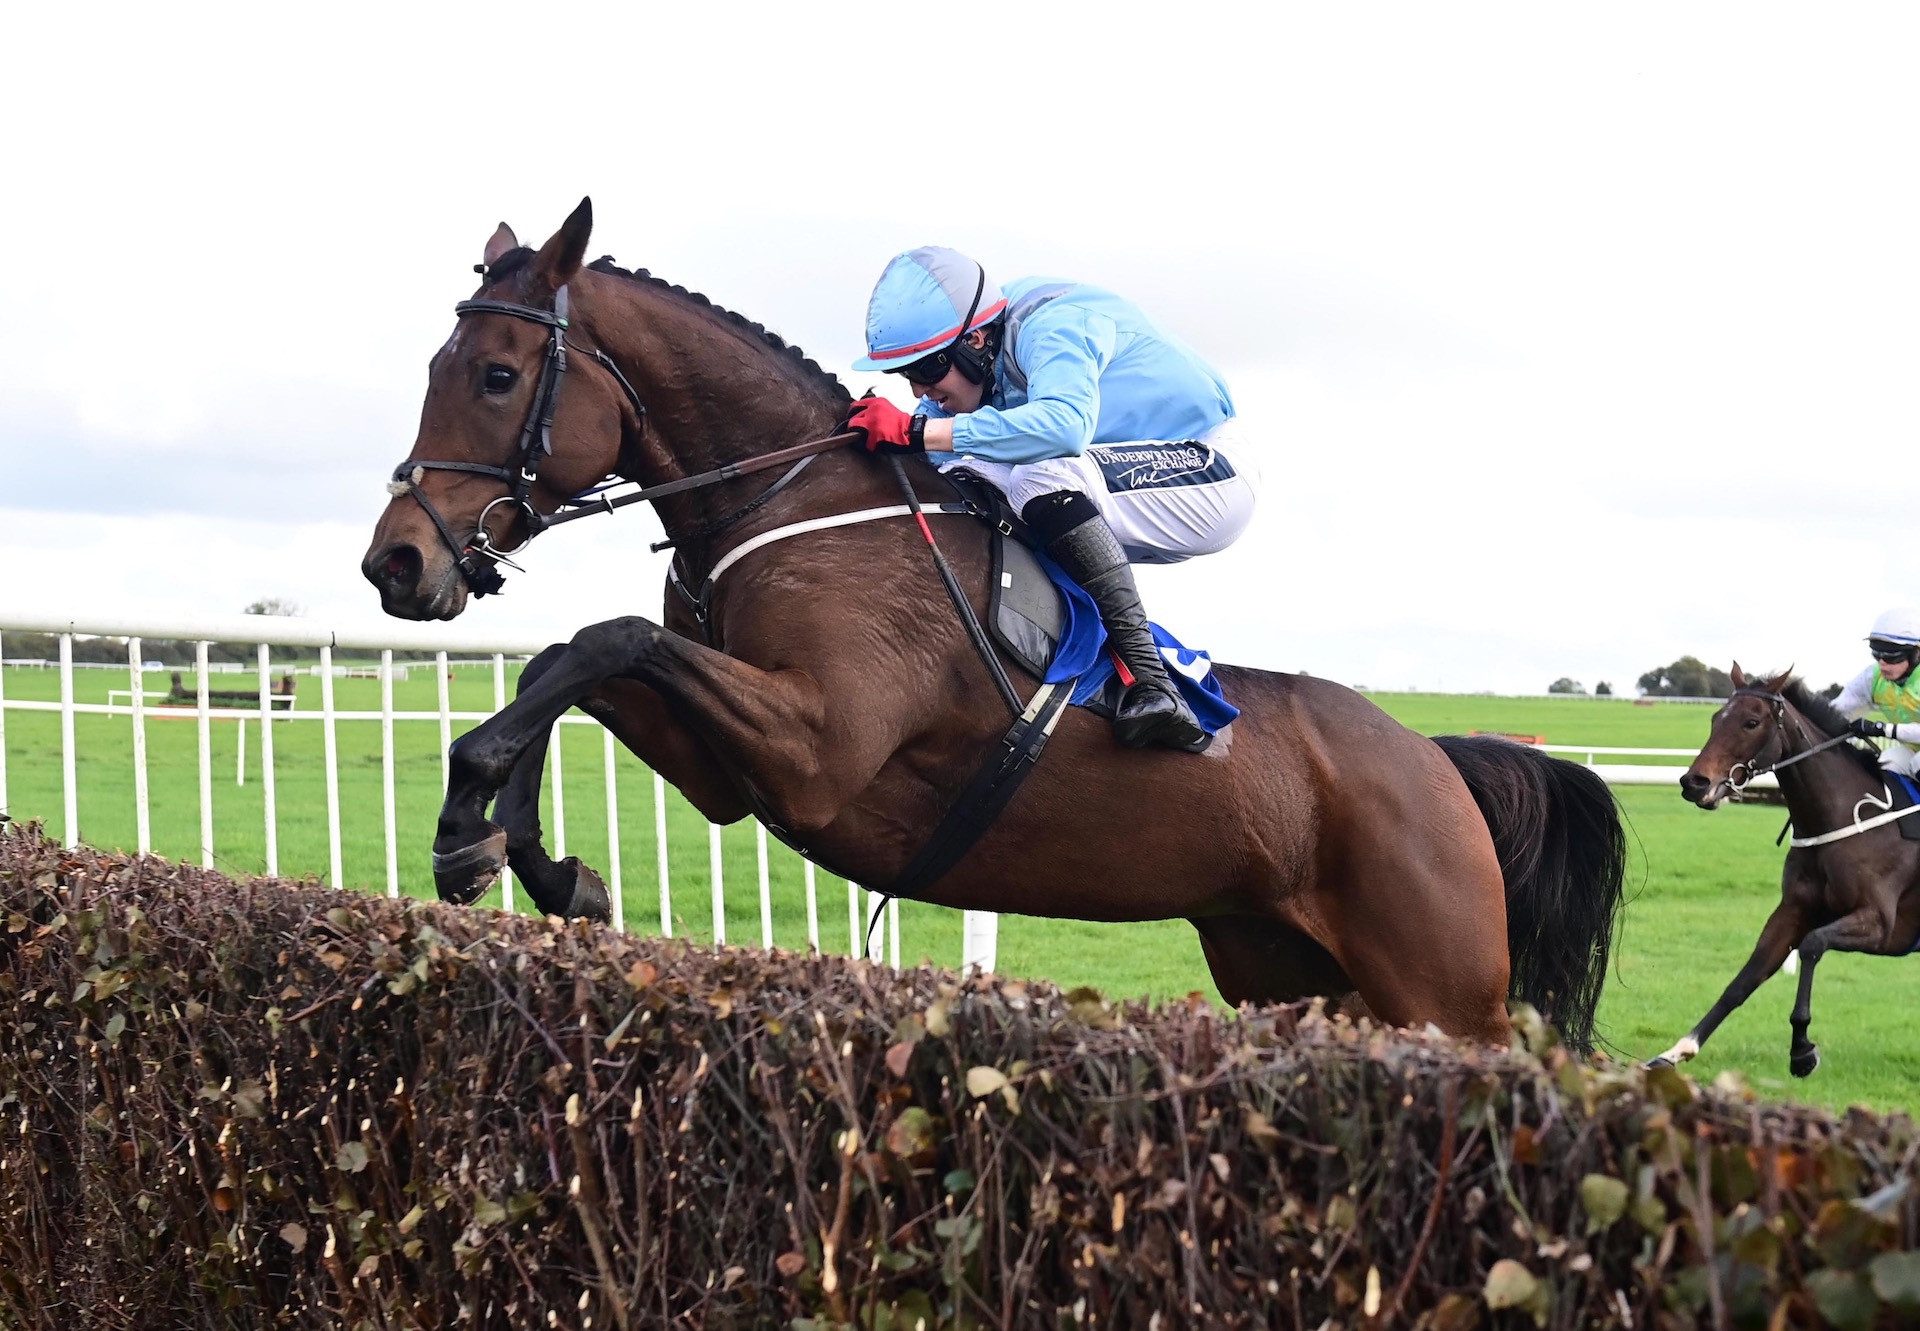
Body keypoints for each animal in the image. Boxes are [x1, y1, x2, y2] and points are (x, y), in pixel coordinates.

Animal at [360, 196, 1620, 1052]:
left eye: (496, 372)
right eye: (434, 364)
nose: (396, 561)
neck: (789, 500)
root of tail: (1435, 761)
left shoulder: (819, 749)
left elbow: (608, 638)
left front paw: (471, 816)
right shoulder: (734, 766)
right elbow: (576, 659)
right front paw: (530, 856)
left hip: (1444, 988)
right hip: (1292, 972)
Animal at [1651, 668, 1920, 1075]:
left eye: (1751, 722)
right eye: (1715, 718)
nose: (1694, 783)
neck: (1848, 818)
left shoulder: (1881, 925)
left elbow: (1812, 945)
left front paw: (1802, 1049)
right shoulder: (1792, 910)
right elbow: (1746, 977)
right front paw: (1678, 1050)